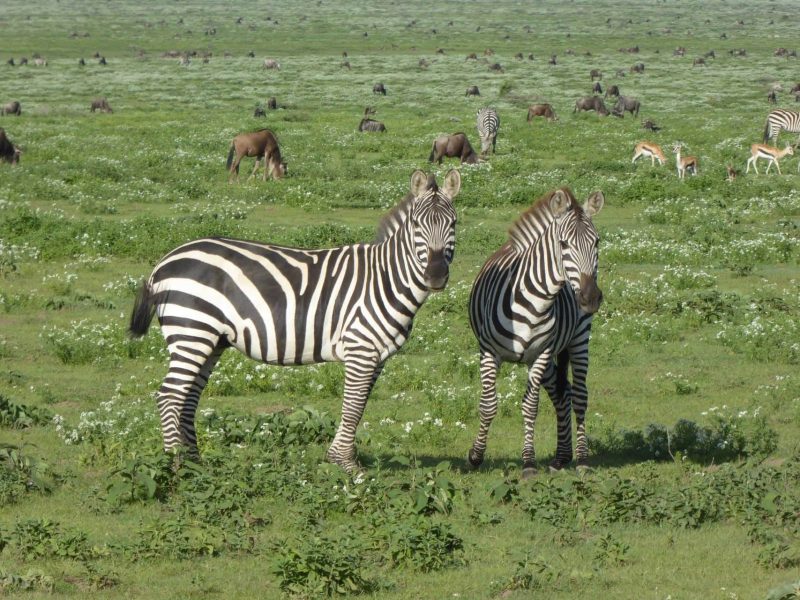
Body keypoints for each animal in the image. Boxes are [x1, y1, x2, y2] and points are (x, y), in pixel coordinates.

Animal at [128, 169, 461, 474]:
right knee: (170, 395)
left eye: (454, 223)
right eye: (416, 225)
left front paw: (340, 458)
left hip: (211, 340)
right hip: (192, 331)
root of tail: (164, 261)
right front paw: (347, 466)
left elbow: (360, 404)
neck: (386, 278)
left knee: (188, 397)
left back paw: (196, 464)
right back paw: (177, 466)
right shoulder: (361, 348)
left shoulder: (376, 355)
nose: (435, 276)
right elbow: (353, 407)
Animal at [467, 187, 604, 477]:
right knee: (563, 395)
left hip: (578, 339)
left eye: (596, 242)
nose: (590, 298)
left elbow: (530, 407)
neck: (536, 301)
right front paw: (475, 456)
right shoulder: (489, 352)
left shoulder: (540, 354)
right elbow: (488, 405)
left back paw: (581, 458)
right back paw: (561, 457)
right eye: (563, 244)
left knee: (579, 396)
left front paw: (528, 462)